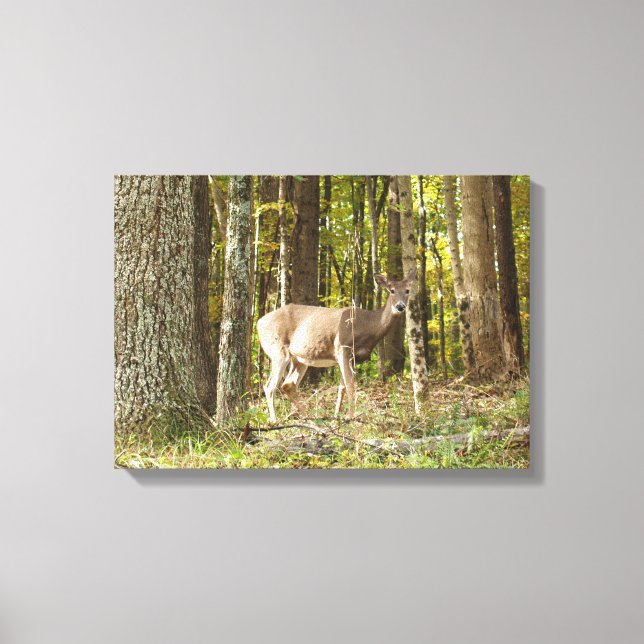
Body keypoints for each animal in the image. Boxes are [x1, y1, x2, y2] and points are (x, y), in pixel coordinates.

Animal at [256, 268, 416, 422]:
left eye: (407, 290)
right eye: (392, 290)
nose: (400, 306)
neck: (368, 325)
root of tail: (259, 322)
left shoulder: (352, 358)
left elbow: (342, 388)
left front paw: (337, 417)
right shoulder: (342, 348)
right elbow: (351, 386)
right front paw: (350, 416)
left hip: (299, 358)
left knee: (288, 385)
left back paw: (309, 417)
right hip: (278, 350)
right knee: (270, 386)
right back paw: (274, 420)